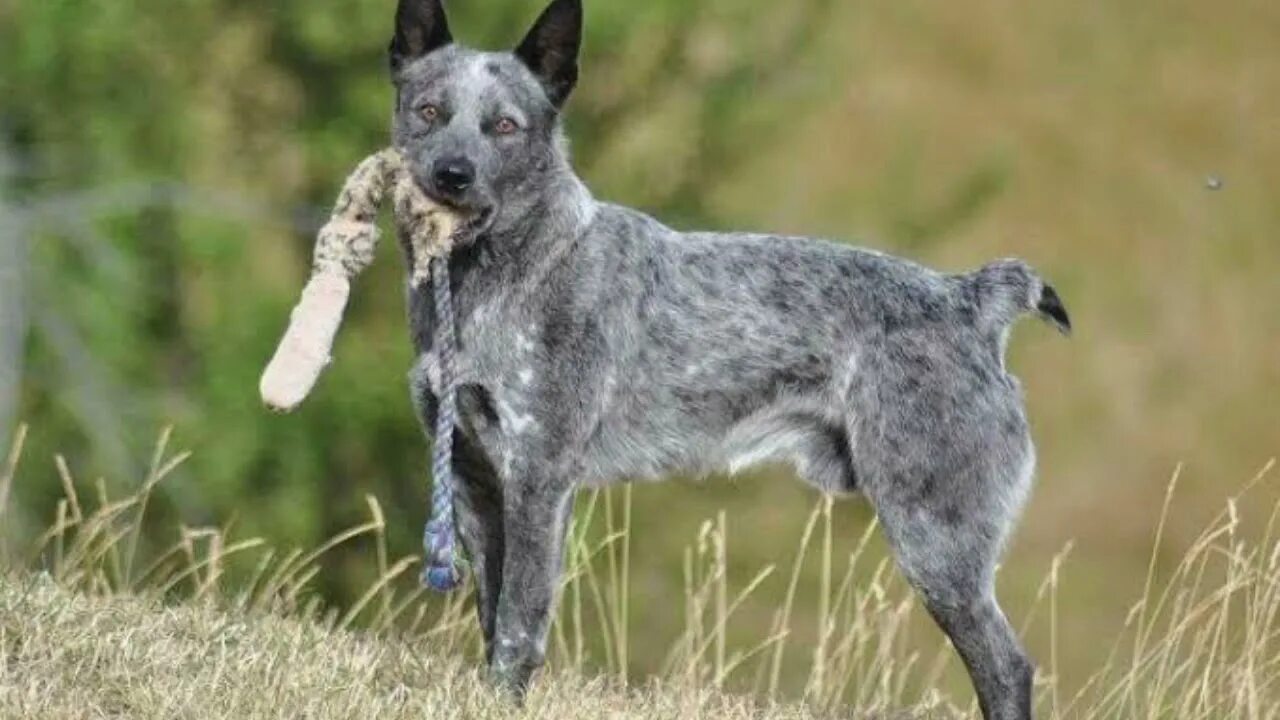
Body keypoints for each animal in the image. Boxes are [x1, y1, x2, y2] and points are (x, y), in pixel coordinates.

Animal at [389, 2, 1070, 712]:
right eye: (429, 111)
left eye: (504, 126)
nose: (452, 175)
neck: (502, 276)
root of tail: (971, 299)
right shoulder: (472, 475)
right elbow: (492, 615)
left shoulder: (538, 478)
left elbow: (520, 621)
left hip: (935, 543)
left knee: (1007, 667)